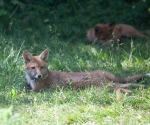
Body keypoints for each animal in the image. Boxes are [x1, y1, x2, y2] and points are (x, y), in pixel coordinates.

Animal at [22, 49, 150, 92]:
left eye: (42, 67)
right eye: (33, 68)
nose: (38, 75)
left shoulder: (37, 90)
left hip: (105, 85)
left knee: (125, 85)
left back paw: (137, 89)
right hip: (108, 84)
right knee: (126, 84)